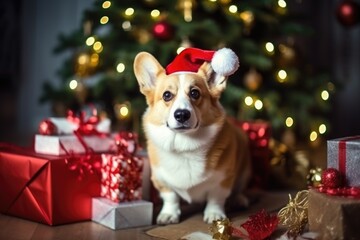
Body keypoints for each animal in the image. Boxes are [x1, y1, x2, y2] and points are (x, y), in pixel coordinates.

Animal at [133, 47, 250, 224]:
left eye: (195, 93)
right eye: (167, 95)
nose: (182, 114)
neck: (184, 146)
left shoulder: (222, 181)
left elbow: (216, 198)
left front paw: (214, 214)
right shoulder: (161, 180)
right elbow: (171, 197)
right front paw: (169, 214)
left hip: (244, 170)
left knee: (238, 189)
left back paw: (239, 199)